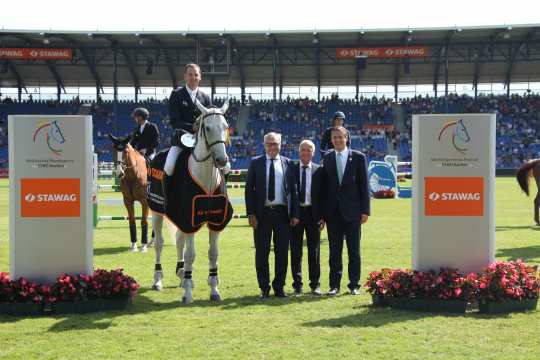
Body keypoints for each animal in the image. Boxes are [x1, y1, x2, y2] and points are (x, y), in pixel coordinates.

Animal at [152, 99, 230, 304]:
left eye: (225, 127)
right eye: (207, 128)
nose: (222, 160)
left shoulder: (215, 221)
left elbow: (213, 253)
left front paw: (214, 289)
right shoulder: (189, 219)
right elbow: (191, 254)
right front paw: (188, 292)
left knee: (179, 241)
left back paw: (181, 273)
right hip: (156, 211)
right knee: (159, 243)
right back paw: (158, 280)